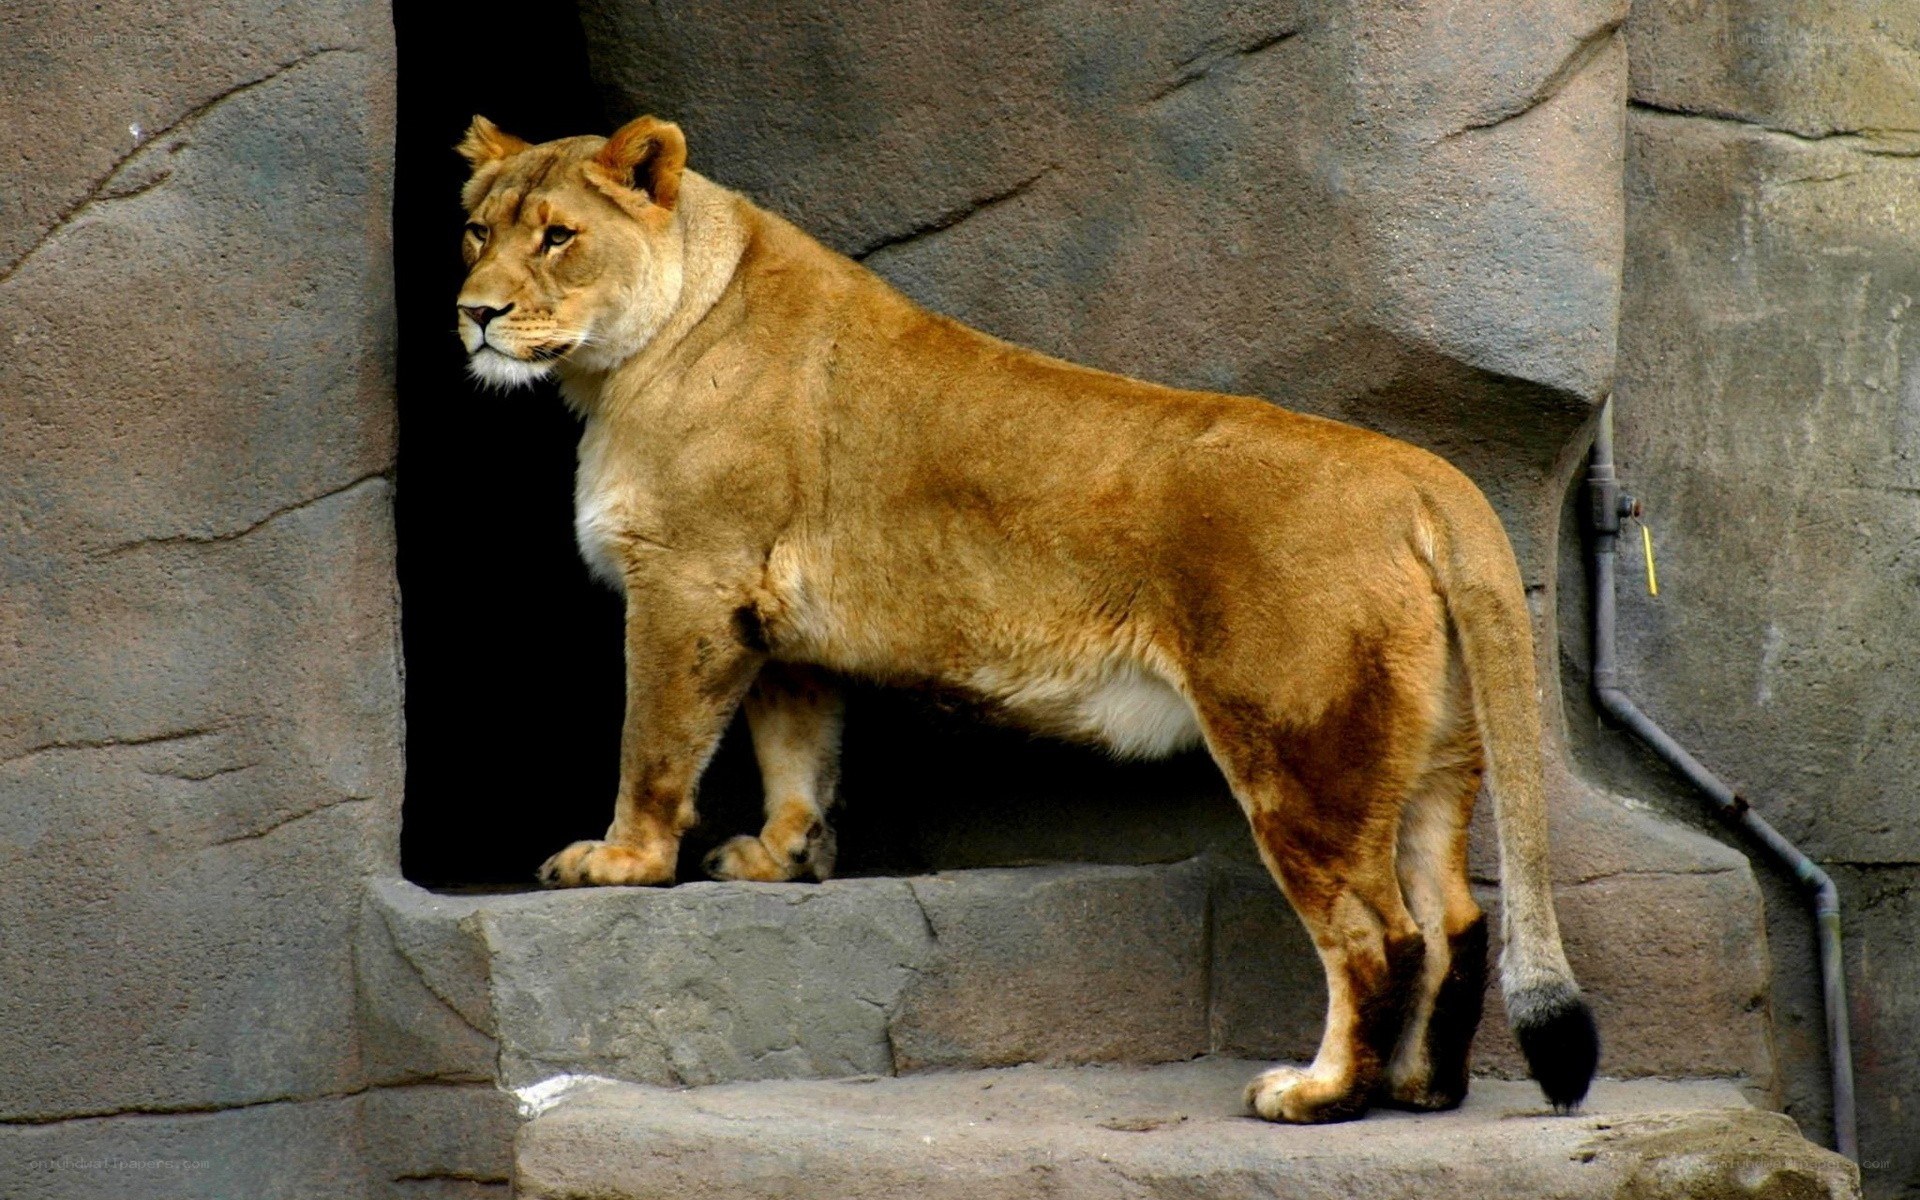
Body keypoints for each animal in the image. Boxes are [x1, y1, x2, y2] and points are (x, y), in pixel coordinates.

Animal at [452, 113, 1599, 1123]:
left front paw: (621, 861)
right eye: (476, 230)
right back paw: (1422, 1089)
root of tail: (1424, 476)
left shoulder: (689, 580)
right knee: (1456, 919)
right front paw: (783, 857)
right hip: (1433, 752)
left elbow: (653, 743)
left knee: (1377, 937)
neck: (623, 363)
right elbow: (798, 746)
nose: (475, 313)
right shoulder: (771, 614)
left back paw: (1320, 1096)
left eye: (557, 235)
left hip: (1303, 753)